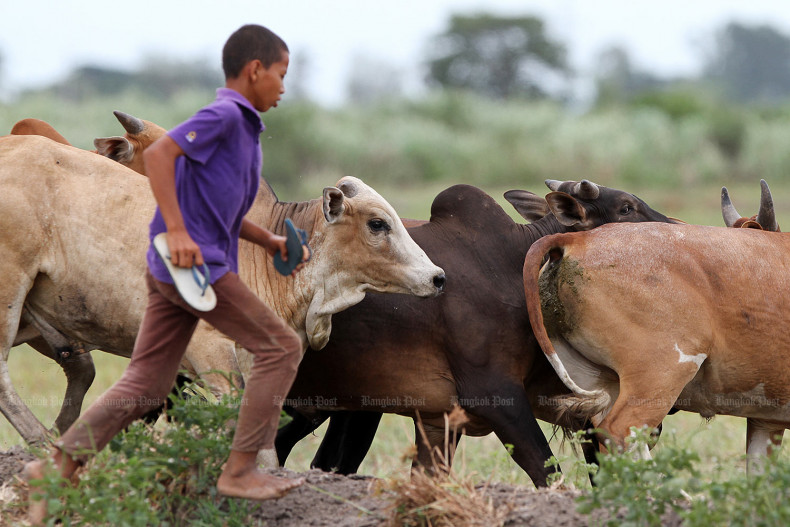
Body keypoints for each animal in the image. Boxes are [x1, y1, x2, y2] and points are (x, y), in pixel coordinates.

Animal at [273, 179, 678, 487]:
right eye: (626, 208)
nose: (675, 229)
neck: (512, 263)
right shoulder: (496, 395)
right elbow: (550, 475)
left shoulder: (439, 419)